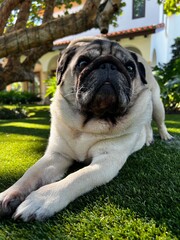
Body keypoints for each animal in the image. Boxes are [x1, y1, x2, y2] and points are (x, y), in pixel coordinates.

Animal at [0, 37, 172, 221]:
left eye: (130, 68)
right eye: (82, 63)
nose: (109, 64)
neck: (90, 122)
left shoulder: (106, 162)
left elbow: (76, 178)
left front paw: (43, 199)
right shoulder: (56, 156)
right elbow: (30, 174)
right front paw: (9, 193)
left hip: (157, 103)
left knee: (158, 121)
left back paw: (165, 136)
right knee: (146, 123)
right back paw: (148, 138)